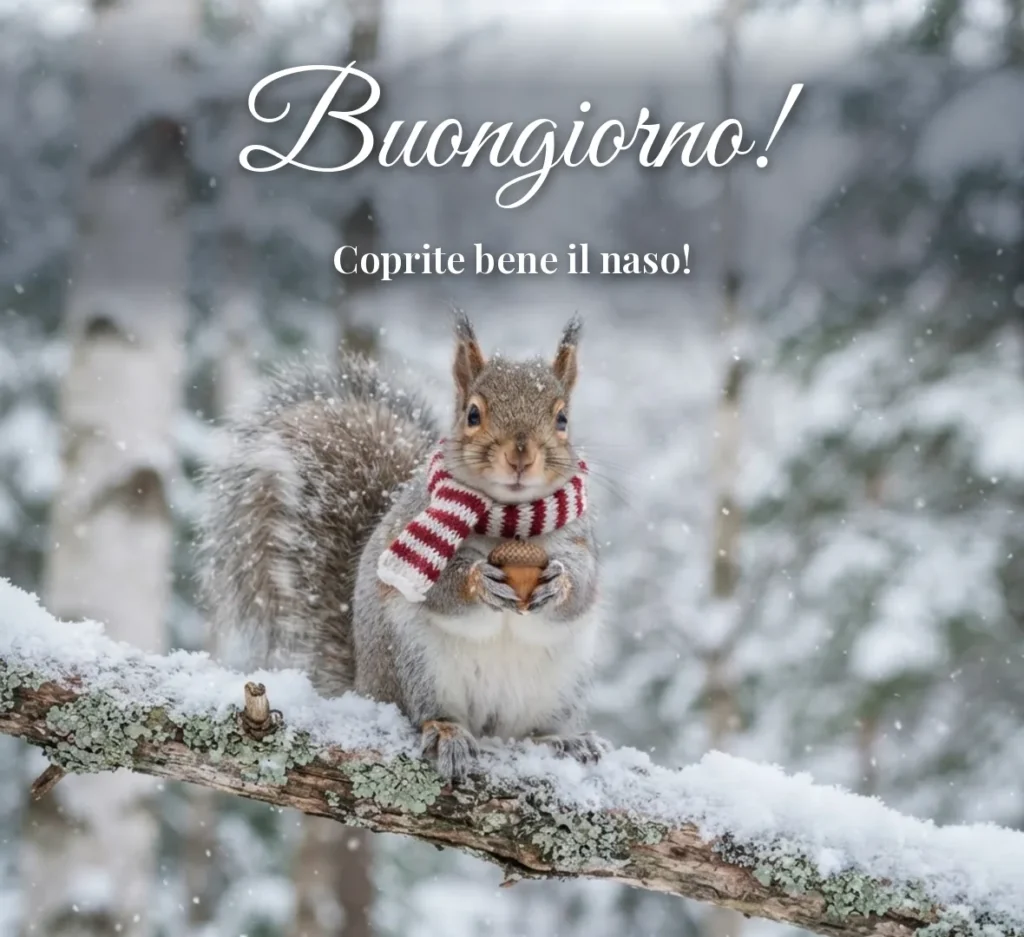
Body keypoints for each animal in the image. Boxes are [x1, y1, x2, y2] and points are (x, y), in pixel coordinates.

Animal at [197, 311, 607, 781]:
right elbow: (440, 588)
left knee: (530, 732)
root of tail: (365, 685)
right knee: (423, 712)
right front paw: (478, 581)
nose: (521, 456)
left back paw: (562, 739)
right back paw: (446, 733)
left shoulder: (581, 540)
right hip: (413, 662)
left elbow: (584, 585)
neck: (511, 523)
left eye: (562, 420)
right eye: (472, 414)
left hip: (563, 683)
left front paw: (558, 582)